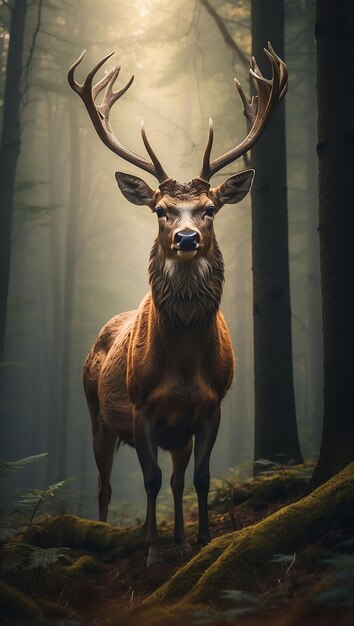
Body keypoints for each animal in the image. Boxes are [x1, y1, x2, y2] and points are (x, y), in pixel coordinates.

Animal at [67, 41, 288, 564]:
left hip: (174, 434)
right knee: (106, 486)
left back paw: (180, 537)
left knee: (175, 478)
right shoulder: (141, 407)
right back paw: (109, 534)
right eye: (160, 211)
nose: (187, 238)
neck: (184, 365)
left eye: (210, 208)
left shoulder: (210, 407)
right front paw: (151, 550)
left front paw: (199, 540)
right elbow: (146, 481)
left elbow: (198, 480)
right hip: (94, 411)